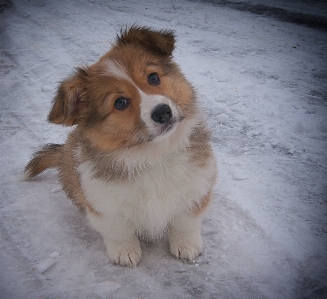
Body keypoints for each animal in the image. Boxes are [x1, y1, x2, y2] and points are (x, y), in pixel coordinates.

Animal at [23, 27, 218, 268]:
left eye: (153, 77)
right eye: (120, 103)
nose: (163, 112)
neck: (153, 155)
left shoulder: (195, 190)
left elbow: (184, 222)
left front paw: (186, 245)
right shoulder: (105, 207)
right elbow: (119, 232)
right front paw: (125, 252)